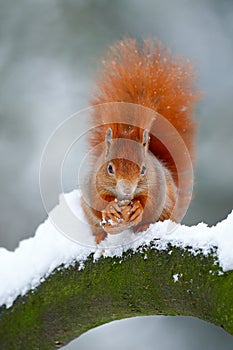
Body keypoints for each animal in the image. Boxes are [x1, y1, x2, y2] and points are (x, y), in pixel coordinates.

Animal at [80, 38, 200, 243]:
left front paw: (137, 208)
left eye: (143, 169)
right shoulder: (93, 185)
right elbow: (97, 203)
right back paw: (100, 237)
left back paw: (143, 226)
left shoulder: (157, 186)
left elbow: (149, 203)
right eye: (110, 168)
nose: (127, 190)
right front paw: (110, 208)